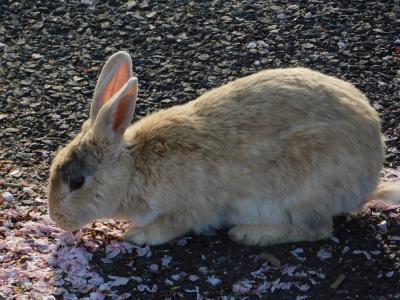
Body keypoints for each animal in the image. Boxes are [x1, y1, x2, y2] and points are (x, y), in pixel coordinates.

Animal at [48, 49, 398, 246]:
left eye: (76, 182)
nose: (56, 218)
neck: (134, 167)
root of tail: (368, 183)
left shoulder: (187, 210)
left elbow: (170, 227)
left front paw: (135, 235)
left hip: (305, 191)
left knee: (318, 229)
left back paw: (251, 234)